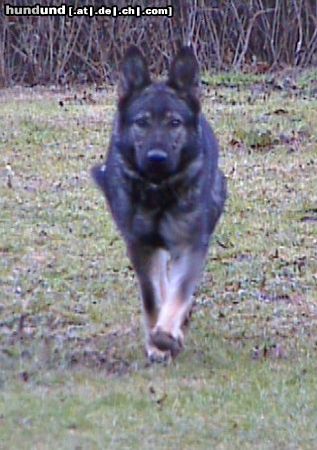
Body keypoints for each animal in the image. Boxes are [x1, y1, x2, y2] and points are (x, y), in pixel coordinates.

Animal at [90, 45, 226, 362]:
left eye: (174, 123)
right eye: (142, 122)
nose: (156, 158)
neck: (159, 191)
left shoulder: (190, 245)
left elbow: (180, 292)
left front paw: (166, 334)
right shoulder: (141, 246)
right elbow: (153, 297)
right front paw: (156, 343)